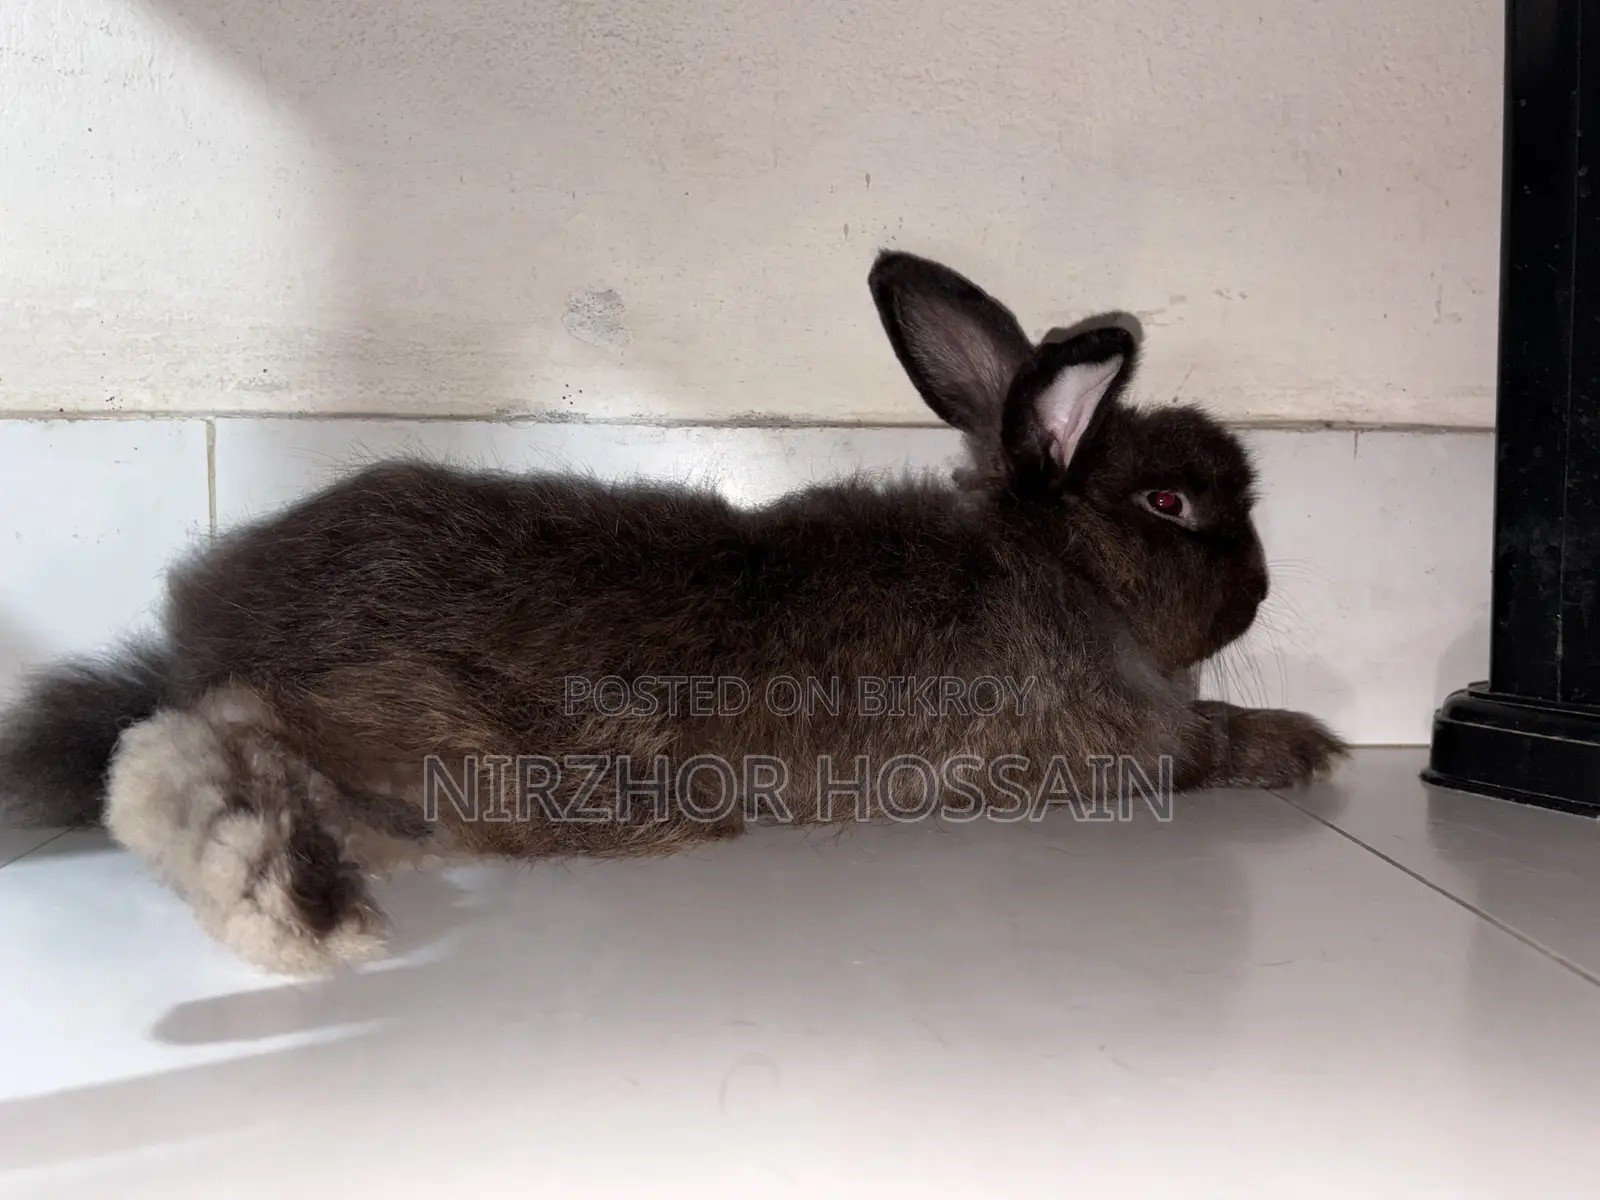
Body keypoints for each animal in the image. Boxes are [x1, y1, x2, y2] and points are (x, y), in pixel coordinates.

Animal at [0, 250, 1346, 974]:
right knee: (184, 758)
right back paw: (291, 898)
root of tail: (206, 630)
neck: (1050, 563)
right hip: (409, 742)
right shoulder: (1111, 748)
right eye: (1170, 500)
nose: (1266, 590)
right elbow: (1209, 747)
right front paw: (1306, 745)